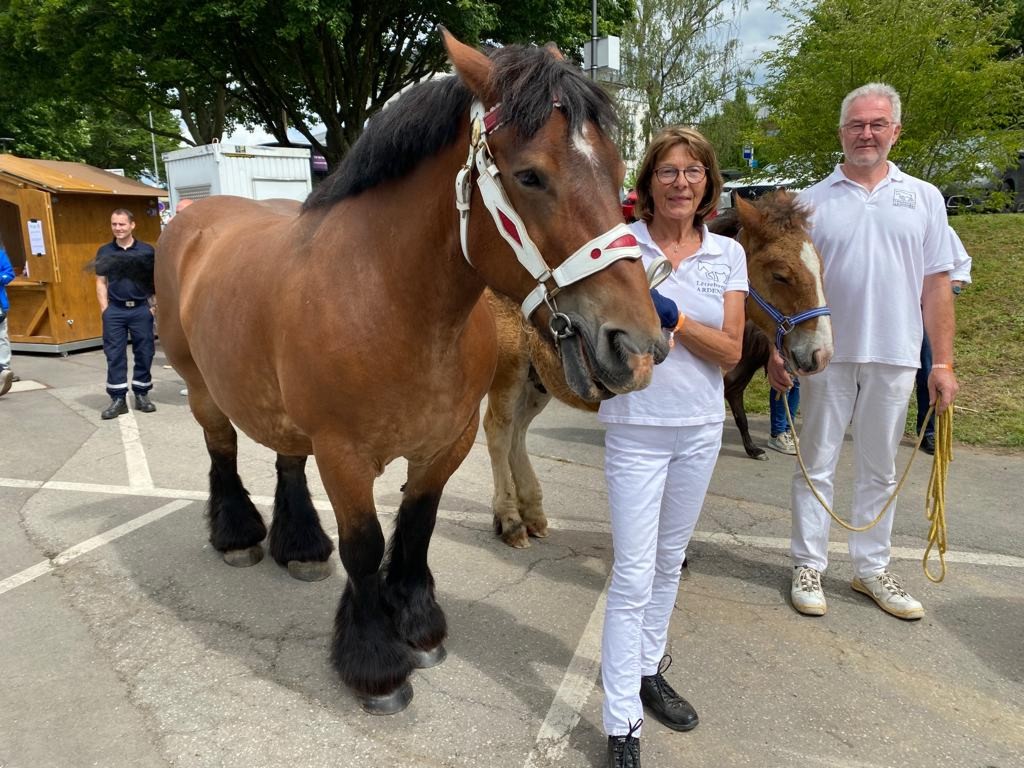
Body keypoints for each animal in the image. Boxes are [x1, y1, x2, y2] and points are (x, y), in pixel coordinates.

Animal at [153, 30, 663, 716]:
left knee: (286, 459)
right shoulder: (343, 454)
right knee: (223, 449)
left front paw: (419, 626)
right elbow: (366, 546)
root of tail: (191, 220)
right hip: (203, 388)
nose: (635, 344)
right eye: (530, 175)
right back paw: (238, 536)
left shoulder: (448, 442)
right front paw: (376, 664)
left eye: (615, 171)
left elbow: (417, 528)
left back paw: (301, 547)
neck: (393, 302)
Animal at [481, 192, 831, 552]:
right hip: (509, 375)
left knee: (518, 433)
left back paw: (532, 514)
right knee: (498, 431)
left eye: (820, 266)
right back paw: (510, 520)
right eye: (780, 274)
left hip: (538, 384)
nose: (819, 353)